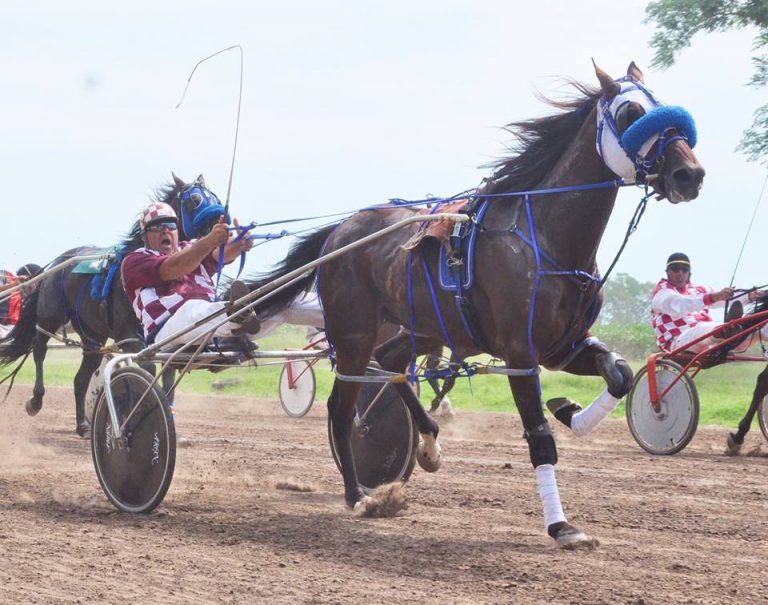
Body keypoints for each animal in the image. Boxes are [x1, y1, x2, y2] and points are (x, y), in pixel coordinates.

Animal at [242, 62, 705, 547]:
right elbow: (540, 438)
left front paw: (570, 412)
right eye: (631, 111)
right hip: (353, 331)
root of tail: (341, 229)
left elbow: (619, 374)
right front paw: (561, 526)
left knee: (389, 362)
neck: (544, 238)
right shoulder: (521, 355)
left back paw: (428, 442)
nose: (689, 174)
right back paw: (357, 494)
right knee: (343, 406)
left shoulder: (564, 347)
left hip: (420, 327)